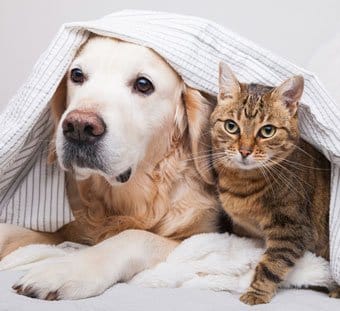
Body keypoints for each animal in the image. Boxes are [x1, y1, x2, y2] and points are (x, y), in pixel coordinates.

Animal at [0, 36, 226, 302]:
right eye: (77, 75)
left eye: (143, 84)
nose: (79, 127)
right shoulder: (69, 228)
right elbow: (13, 231)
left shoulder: (202, 237)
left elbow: (133, 237)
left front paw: (67, 269)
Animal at [211, 62, 338, 306]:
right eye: (231, 126)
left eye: (267, 131)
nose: (244, 151)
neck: (242, 184)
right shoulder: (245, 230)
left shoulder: (291, 228)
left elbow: (271, 264)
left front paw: (256, 293)